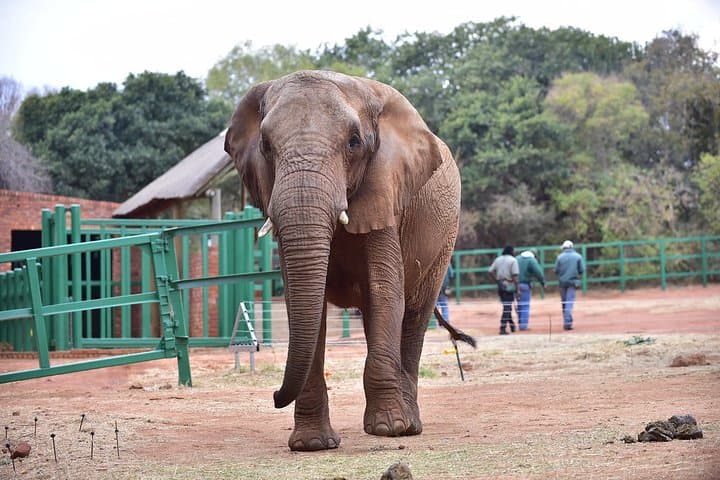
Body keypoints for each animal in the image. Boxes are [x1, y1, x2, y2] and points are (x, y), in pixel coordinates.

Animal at [224, 70, 471, 451]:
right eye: (265, 145)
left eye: (354, 143)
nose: (275, 395)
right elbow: (302, 305)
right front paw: (311, 444)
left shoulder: (386, 188)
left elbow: (385, 291)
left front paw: (389, 429)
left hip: (446, 238)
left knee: (414, 314)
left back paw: (409, 425)